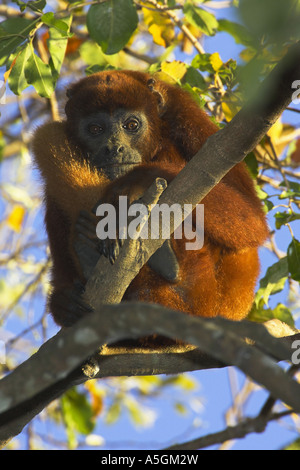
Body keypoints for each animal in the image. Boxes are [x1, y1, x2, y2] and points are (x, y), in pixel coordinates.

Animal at [31, 70, 268, 330]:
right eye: (95, 129)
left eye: (131, 125)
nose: (114, 148)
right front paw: (64, 303)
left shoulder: (188, 117)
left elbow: (252, 221)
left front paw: (131, 183)